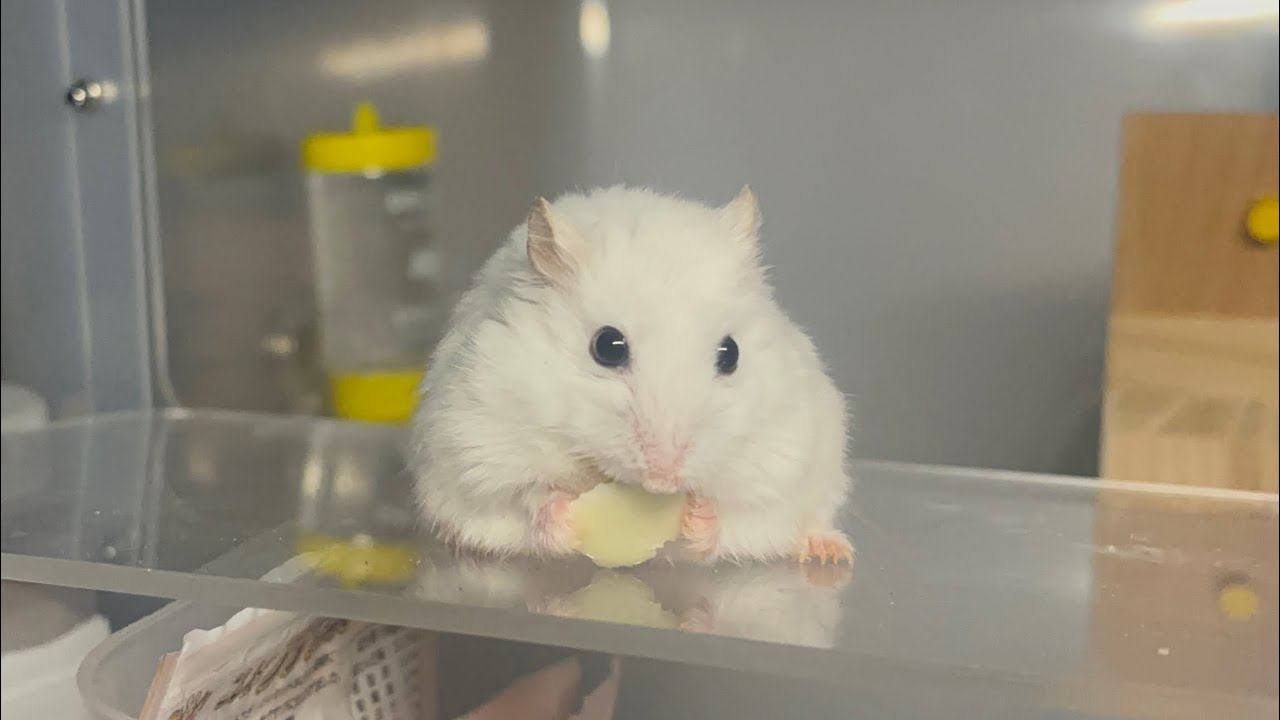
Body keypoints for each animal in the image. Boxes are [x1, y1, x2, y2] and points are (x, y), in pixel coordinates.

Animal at [412, 186, 853, 564]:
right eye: (608, 346)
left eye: (731, 354)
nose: (665, 478)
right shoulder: (476, 442)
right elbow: (524, 495)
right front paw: (564, 520)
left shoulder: (778, 457)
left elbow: (737, 513)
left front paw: (699, 519)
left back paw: (829, 550)